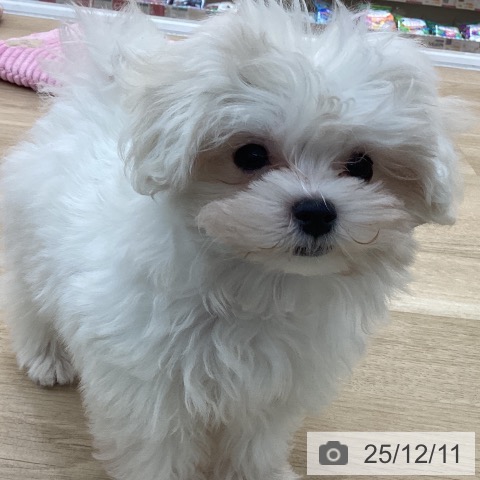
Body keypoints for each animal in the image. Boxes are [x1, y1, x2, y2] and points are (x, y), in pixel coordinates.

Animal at [1, 2, 462, 479]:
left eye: (362, 166)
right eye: (250, 155)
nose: (317, 210)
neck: (258, 282)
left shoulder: (274, 384)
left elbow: (255, 441)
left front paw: (261, 473)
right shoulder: (148, 390)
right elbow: (157, 449)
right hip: (30, 240)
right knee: (27, 301)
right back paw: (46, 357)